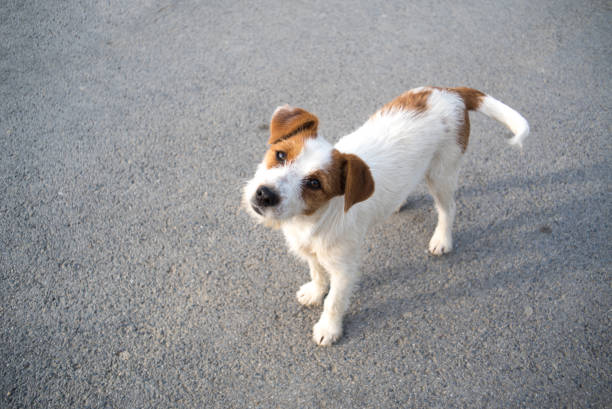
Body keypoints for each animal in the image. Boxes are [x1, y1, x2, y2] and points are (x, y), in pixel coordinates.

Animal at [241, 87, 528, 344]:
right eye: (280, 155)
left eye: (314, 183)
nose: (264, 195)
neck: (308, 219)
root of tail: (452, 92)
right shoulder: (312, 250)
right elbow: (317, 272)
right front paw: (315, 292)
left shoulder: (344, 268)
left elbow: (334, 301)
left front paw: (328, 329)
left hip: (442, 174)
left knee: (448, 208)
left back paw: (442, 239)